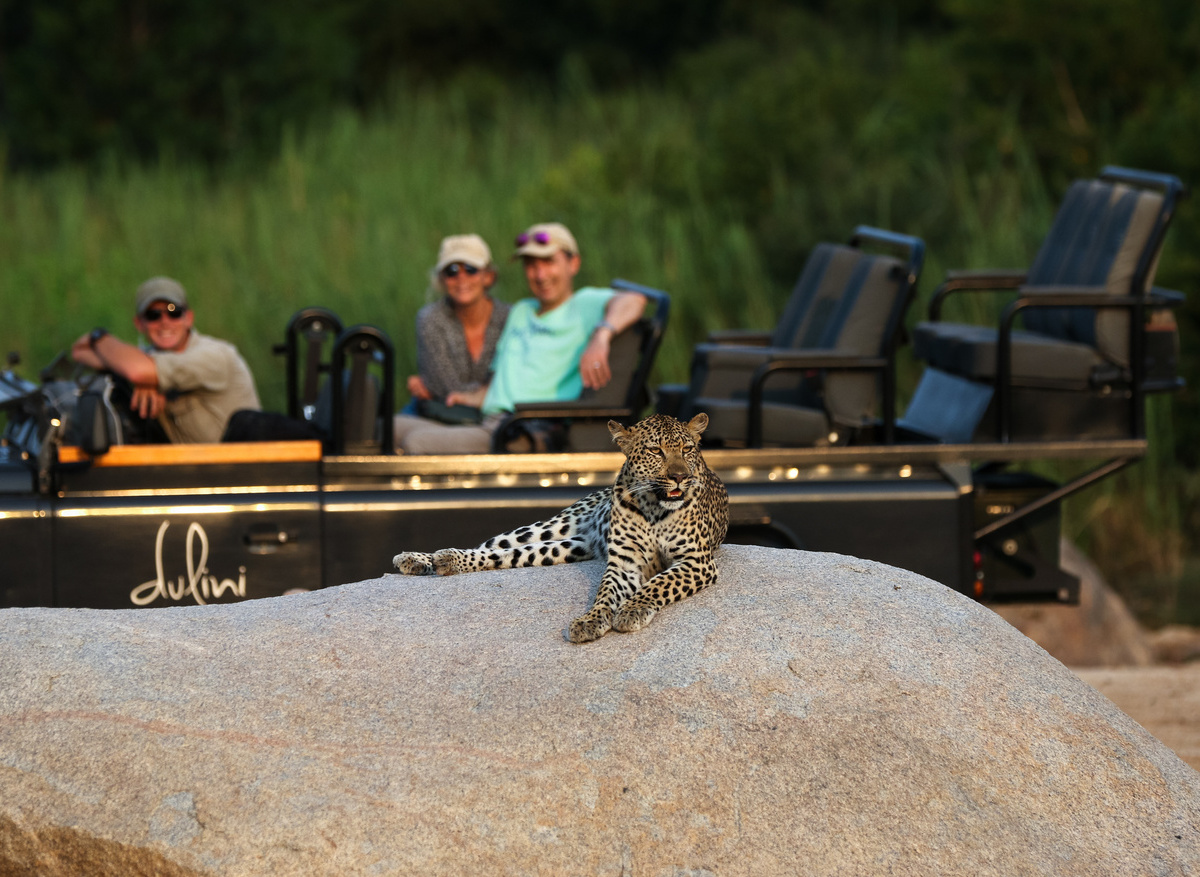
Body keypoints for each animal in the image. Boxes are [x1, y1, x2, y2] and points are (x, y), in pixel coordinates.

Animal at [392, 412, 729, 643]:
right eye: (656, 451)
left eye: (688, 449)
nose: (680, 477)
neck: (654, 507)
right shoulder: (623, 563)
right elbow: (605, 593)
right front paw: (591, 619)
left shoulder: (696, 561)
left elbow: (658, 583)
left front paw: (631, 610)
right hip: (551, 527)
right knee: (489, 547)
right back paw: (422, 559)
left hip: (567, 547)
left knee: (504, 556)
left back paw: (439, 561)